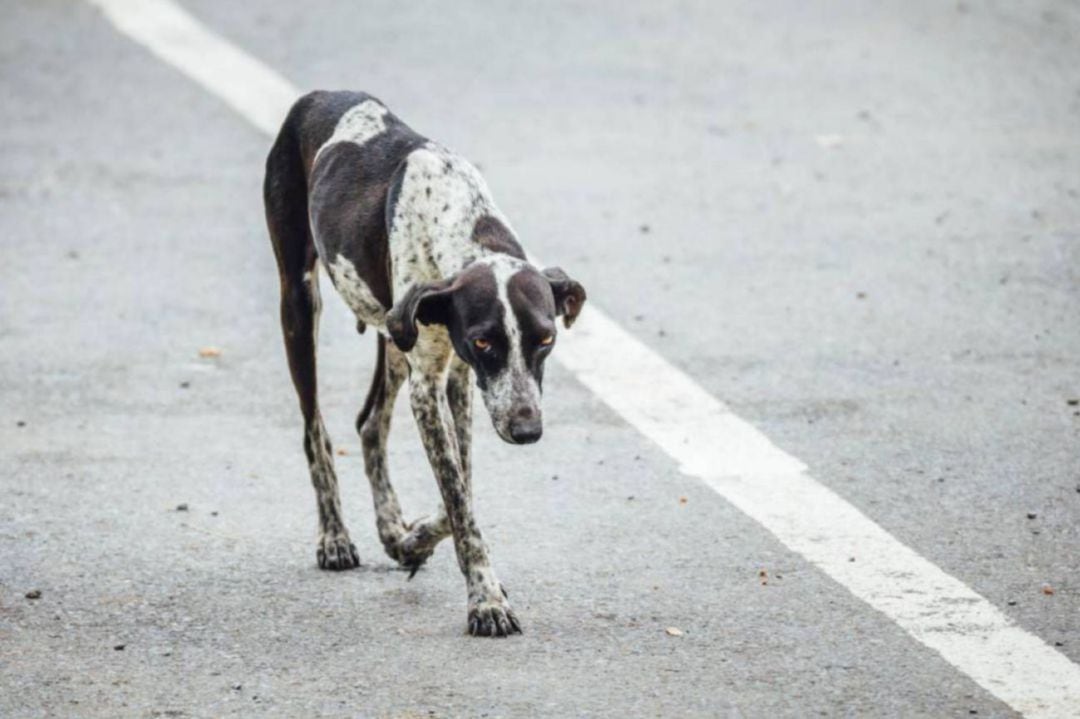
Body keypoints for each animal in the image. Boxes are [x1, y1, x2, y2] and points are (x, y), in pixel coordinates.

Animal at [261, 92, 587, 634]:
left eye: (545, 339)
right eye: (484, 341)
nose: (526, 430)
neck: (463, 220)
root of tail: (319, 96)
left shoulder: (458, 379)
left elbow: (461, 487)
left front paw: (414, 539)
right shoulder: (431, 385)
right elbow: (458, 495)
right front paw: (485, 598)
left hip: (394, 337)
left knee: (370, 422)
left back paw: (391, 527)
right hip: (300, 303)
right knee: (316, 432)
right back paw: (334, 535)